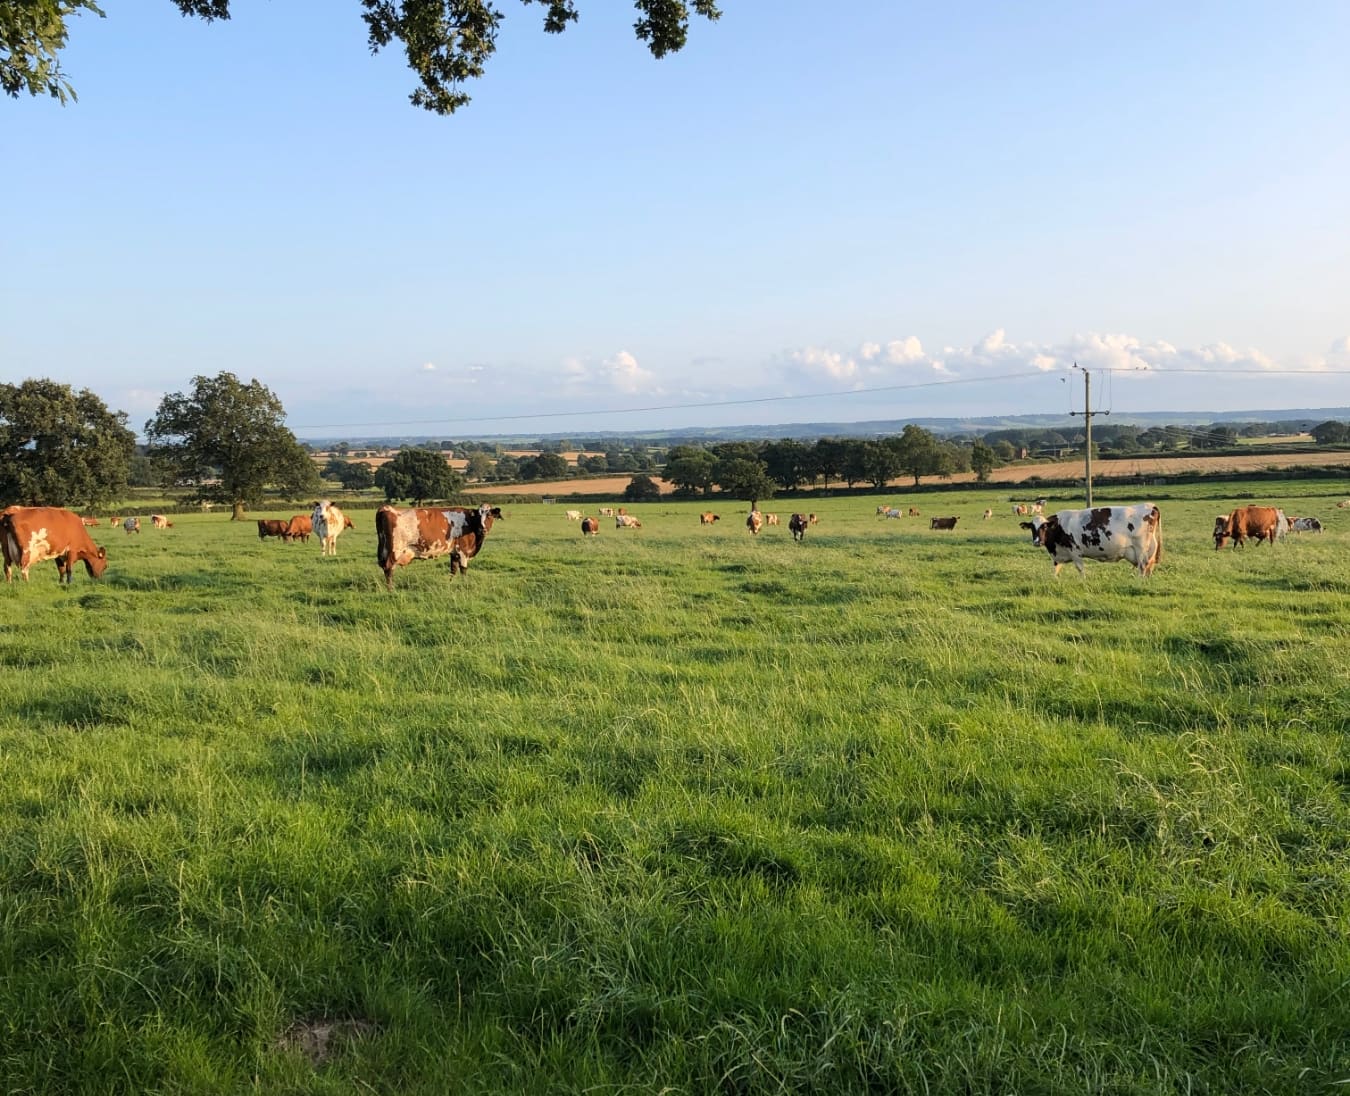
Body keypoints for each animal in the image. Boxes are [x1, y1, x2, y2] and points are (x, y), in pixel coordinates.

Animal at [1020, 502, 1161, 577]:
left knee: (1142, 567)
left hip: (1141, 549)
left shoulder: (1075, 552)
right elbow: (1055, 570)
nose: (1037, 542)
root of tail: (1150, 505)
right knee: (1148, 567)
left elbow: (1080, 569)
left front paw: (1083, 581)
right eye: (1032, 528)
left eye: (1044, 527)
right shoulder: (1058, 555)